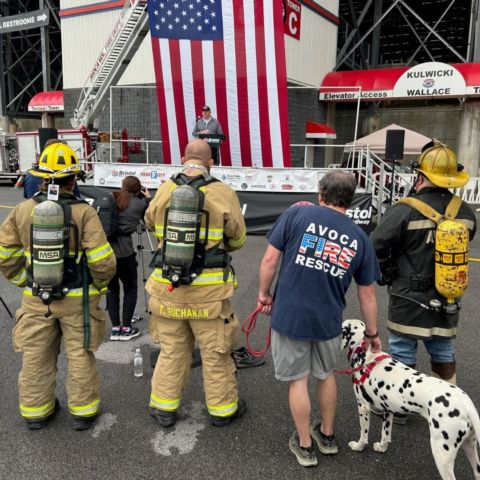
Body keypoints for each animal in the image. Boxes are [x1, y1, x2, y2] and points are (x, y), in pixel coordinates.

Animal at [342, 318, 480, 480]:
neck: (367, 356)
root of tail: (466, 403)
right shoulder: (388, 411)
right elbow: (385, 434)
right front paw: (382, 447)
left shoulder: (362, 407)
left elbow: (364, 433)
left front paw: (358, 446)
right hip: (470, 446)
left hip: (442, 452)